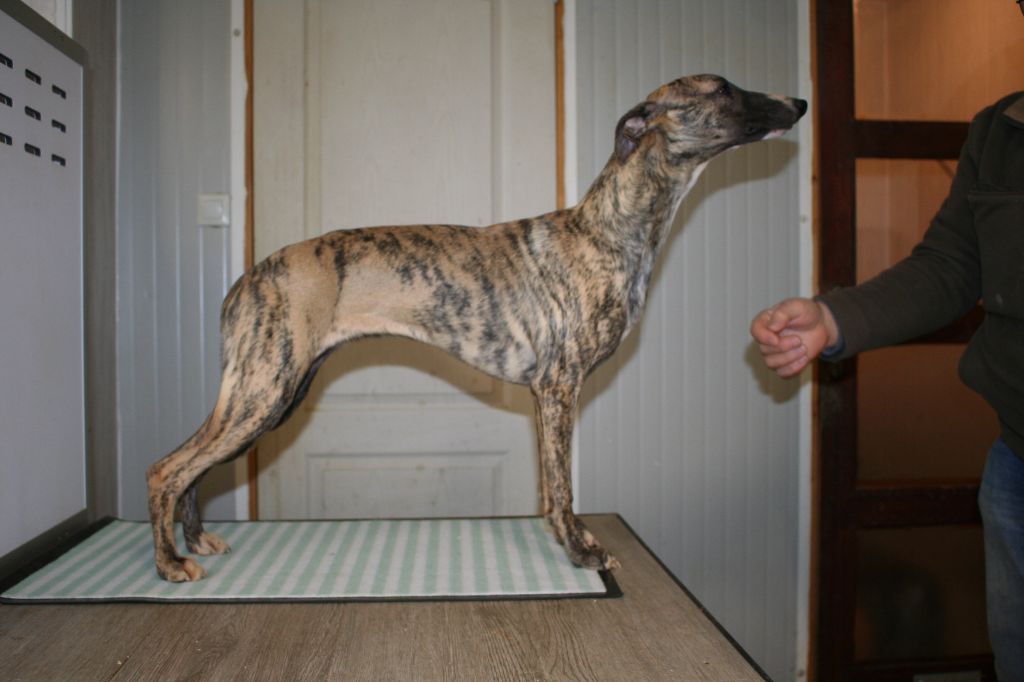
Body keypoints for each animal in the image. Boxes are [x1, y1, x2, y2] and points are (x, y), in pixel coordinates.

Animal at [147, 74, 806, 581]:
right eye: (721, 88)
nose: (799, 102)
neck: (607, 230)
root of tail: (247, 279)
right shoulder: (557, 388)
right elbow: (561, 488)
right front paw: (582, 551)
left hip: (268, 393)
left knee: (192, 467)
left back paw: (195, 540)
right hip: (264, 390)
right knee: (168, 468)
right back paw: (170, 564)